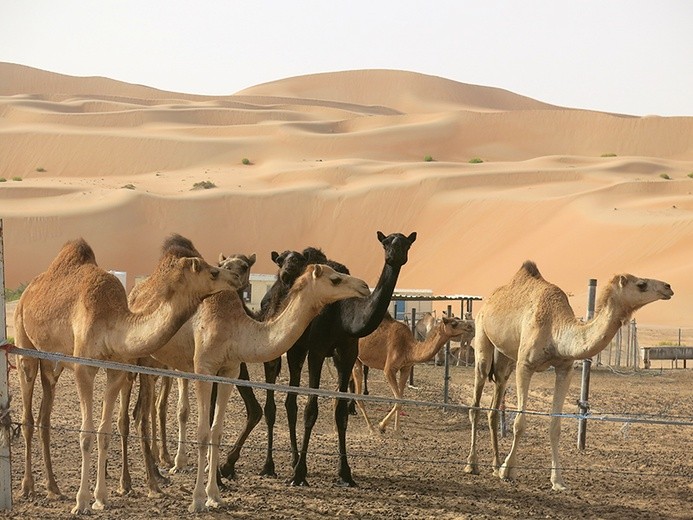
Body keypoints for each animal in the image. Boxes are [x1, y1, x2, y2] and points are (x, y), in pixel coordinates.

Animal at [12, 235, 245, 512]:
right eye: (213, 272)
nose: (236, 278)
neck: (111, 321)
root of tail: (26, 292)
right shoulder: (83, 368)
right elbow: (86, 434)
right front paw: (81, 502)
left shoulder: (117, 371)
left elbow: (103, 432)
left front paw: (101, 498)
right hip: (24, 347)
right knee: (27, 416)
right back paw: (28, 488)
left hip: (51, 362)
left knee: (43, 418)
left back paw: (53, 488)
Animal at [126, 260, 370, 512]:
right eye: (335, 279)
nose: (364, 286)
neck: (235, 329)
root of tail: (135, 292)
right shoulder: (203, 368)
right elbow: (203, 433)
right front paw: (197, 501)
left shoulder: (229, 371)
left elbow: (216, 431)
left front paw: (214, 496)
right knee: (133, 413)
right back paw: (142, 483)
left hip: (157, 360)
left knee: (143, 412)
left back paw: (158, 475)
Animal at [464, 260, 672, 492]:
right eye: (641, 284)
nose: (668, 287)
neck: (555, 329)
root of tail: (488, 302)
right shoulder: (525, 365)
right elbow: (520, 422)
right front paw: (508, 471)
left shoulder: (565, 368)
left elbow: (556, 426)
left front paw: (558, 481)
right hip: (483, 340)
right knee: (476, 402)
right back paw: (472, 464)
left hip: (505, 361)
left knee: (494, 403)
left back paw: (494, 464)